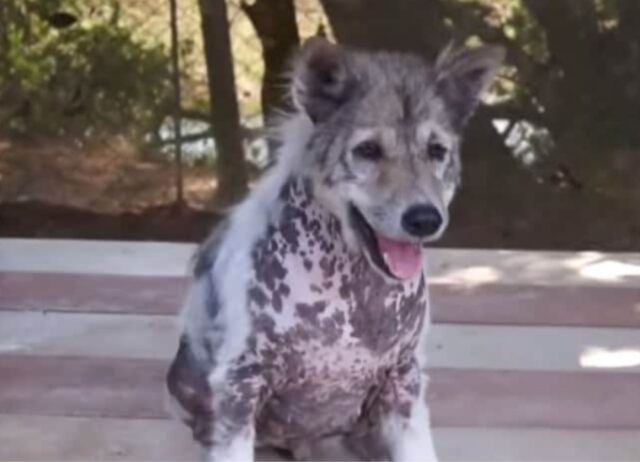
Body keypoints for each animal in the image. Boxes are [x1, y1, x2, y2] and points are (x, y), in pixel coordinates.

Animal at [166, 38, 504, 460]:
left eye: (436, 151)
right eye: (368, 150)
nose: (425, 219)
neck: (352, 297)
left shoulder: (404, 383)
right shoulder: (238, 387)